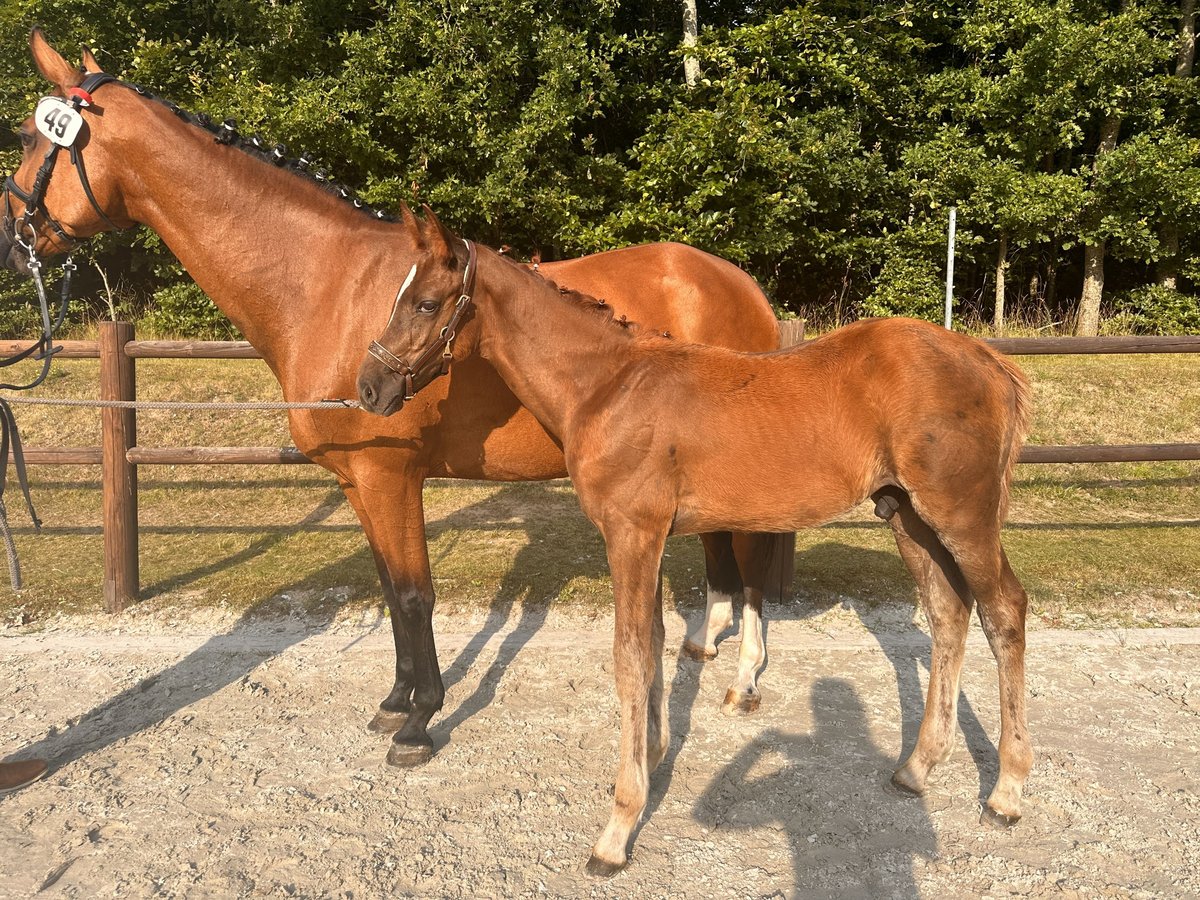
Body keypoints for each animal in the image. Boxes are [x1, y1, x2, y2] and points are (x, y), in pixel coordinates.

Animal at [0, 33, 785, 764]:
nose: (12, 241)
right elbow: (387, 587)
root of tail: (738, 283)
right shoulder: (358, 480)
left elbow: (413, 593)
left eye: (36, 138)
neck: (325, 285)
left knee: (750, 567)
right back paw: (706, 646)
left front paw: (419, 721)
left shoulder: (389, 472)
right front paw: (395, 700)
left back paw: (746, 680)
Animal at [356, 213, 1035, 876]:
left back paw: (1006, 793)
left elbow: (631, 657)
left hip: (962, 516)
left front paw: (618, 827)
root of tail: (991, 362)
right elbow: (655, 645)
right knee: (948, 613)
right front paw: (654, 755)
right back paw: (917, 767)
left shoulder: (631, 534)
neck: (607, 384)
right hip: (908, 516)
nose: (369, 387)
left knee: (1004, 611)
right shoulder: (647, 537)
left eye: (425, 302)